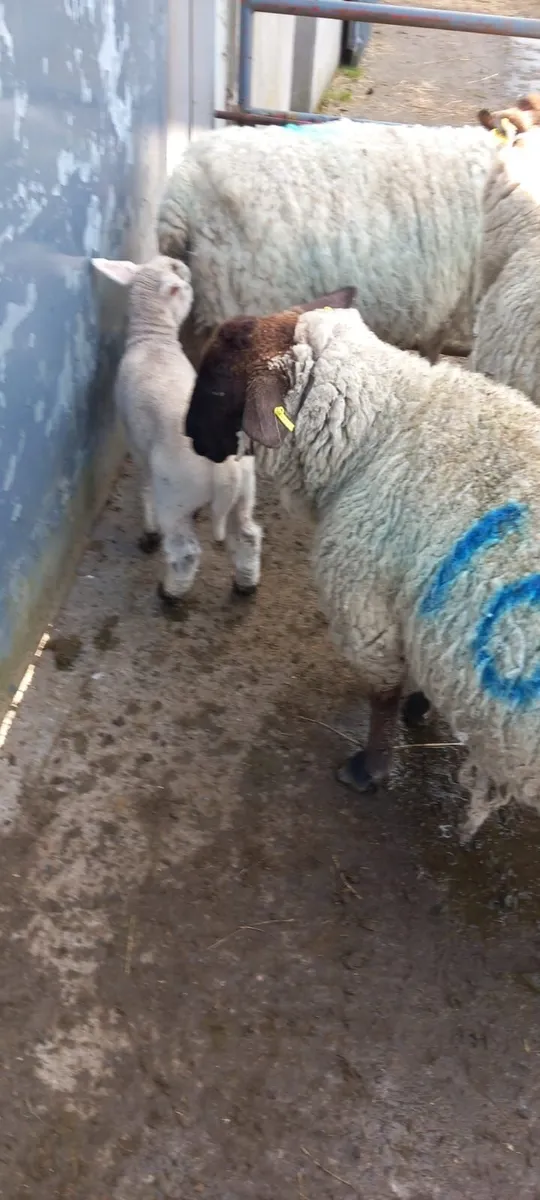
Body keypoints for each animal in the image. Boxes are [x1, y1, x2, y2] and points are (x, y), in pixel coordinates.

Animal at [91, 254, 262, 604]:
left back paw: (171, 591)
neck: (153, 341)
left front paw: (149, 528)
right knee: (247, 535)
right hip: (245, 489)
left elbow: (145, 485)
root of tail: (224, 467)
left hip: (175, 493)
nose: (181, 263)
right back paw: (246, 583)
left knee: (185, 551)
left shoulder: (137, 444)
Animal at [184, 293, 540, 843]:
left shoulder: (367, 606)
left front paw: (369, 768)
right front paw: (422, 708)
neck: (383, 427)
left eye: (219, 382)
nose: (190, 437)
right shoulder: (423, 612)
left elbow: (383, 694)